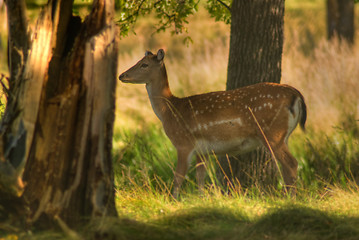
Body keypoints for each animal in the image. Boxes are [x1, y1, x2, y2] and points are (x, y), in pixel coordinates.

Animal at [119, 48, 308, 199]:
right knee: (286, 166)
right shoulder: (203, 150)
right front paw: (202, 199)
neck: (169, 111)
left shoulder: (183, 143)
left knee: (292, 164)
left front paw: (172, 200)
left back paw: (289, 199)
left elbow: (178, 176)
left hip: (272, 133)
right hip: (283, 135)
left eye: (144, 64)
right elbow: (200, 176)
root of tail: (296, 95)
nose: (122, 75)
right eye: (139, 62)